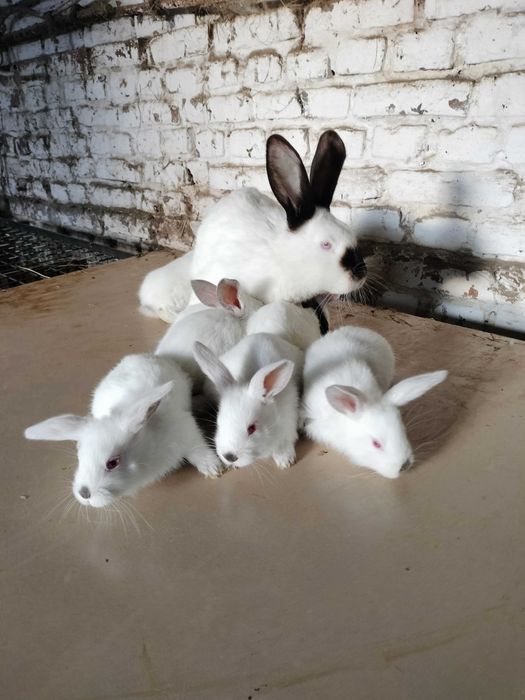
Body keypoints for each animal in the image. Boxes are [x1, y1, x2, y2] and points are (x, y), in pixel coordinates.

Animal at [24, 353, 221, 508]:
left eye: (113, 462)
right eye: (79, 456)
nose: (85, 494)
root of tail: (143, 356)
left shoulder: (187, 431)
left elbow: (199, 450)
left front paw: (214, 469)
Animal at [193, 333, 304, 470]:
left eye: (252, 428)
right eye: (218, 423)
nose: (230, 457)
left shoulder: (288, 423)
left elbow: (283, 444)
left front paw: (285, 461)